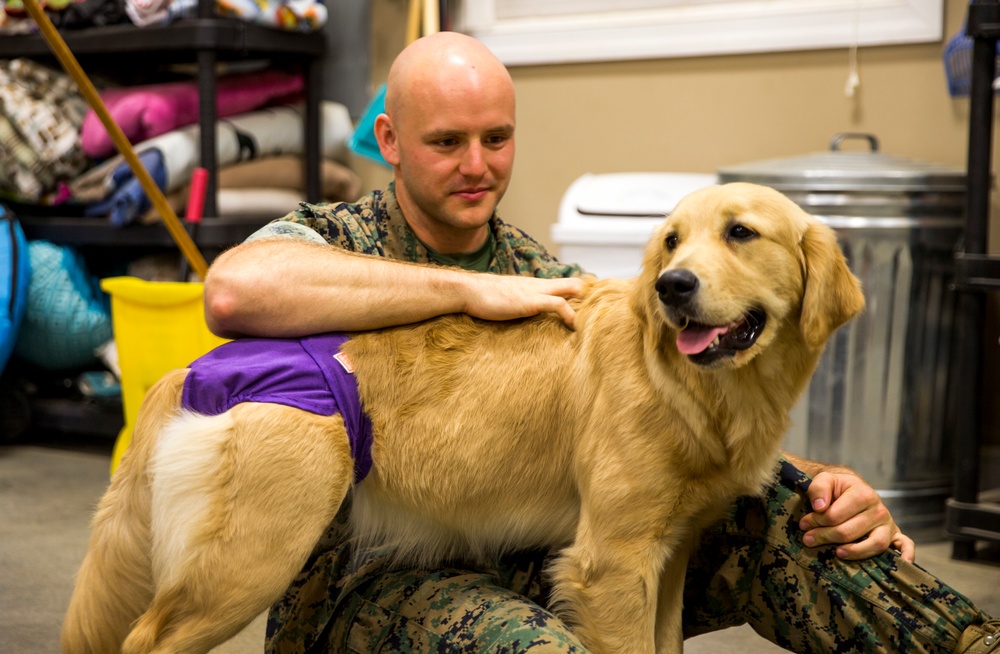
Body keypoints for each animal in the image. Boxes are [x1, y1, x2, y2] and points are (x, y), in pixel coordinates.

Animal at [62, 183, 864, 654]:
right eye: (671, 241)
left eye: (740, 234)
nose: (672, 286)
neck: (686, 384)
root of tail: (199, 366)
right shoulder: (610, 565)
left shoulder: (665, 558)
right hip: (247, 561)